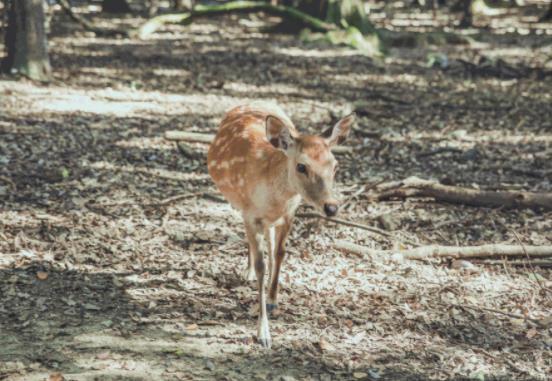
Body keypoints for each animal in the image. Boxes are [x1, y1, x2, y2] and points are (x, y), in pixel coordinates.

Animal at [206, 101, 354, 348]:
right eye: (301, 166)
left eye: (335, 166)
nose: (331, 207)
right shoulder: (250, 213)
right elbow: (261, 265)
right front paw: (263, 333)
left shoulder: (289, 213)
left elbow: (280, 253)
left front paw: (273, 299)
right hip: (240, 205)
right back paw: (246, 271)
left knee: (271, 242)